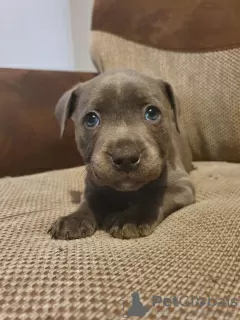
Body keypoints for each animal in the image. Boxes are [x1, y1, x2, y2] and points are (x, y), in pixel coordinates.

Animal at [48, 70, 195, 240]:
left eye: (152, 113)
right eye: (91, 119)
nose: (126, 157)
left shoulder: (182, 185)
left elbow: (154, 196)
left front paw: (131, 219)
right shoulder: (93, 185)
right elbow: (88, 201)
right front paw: (74, 219)